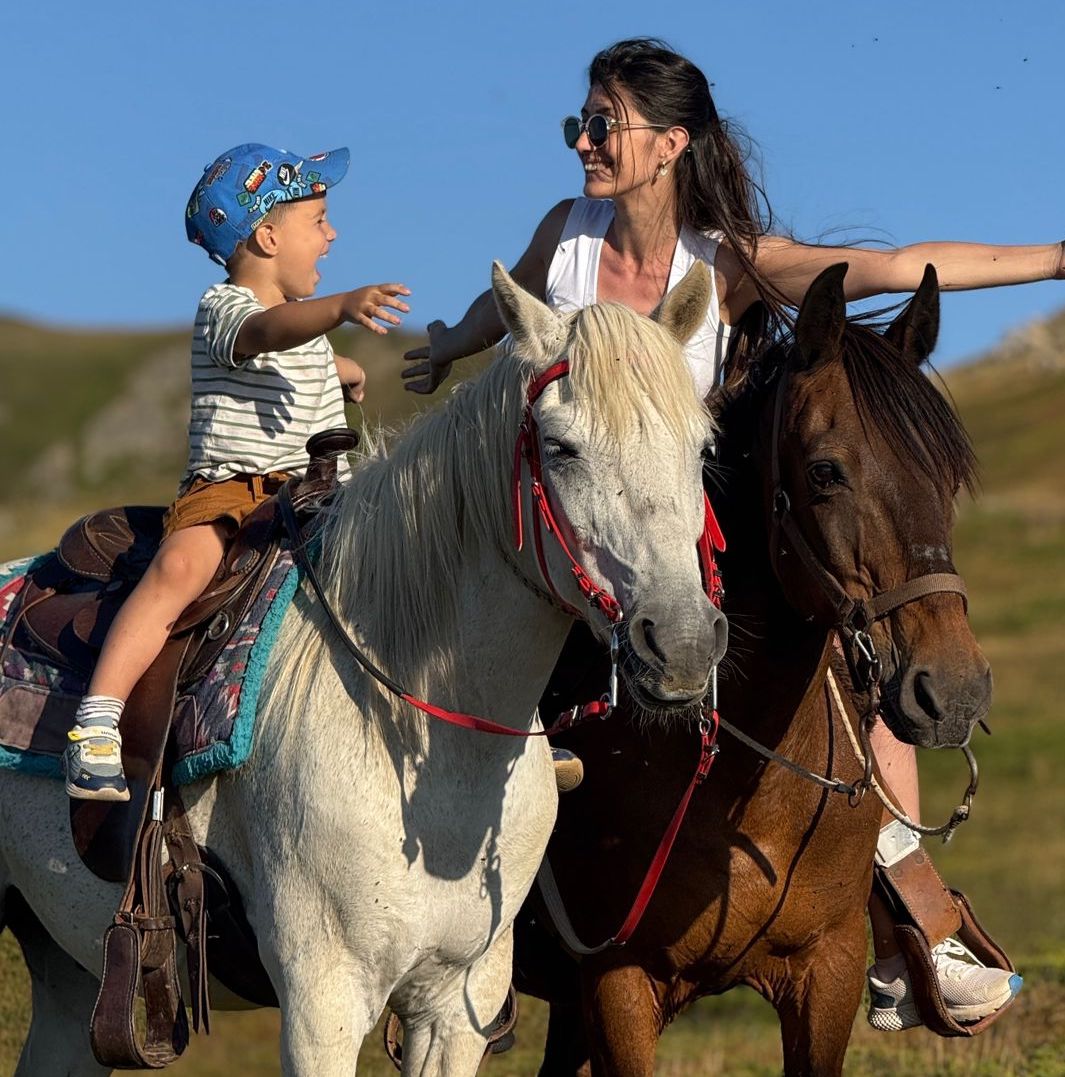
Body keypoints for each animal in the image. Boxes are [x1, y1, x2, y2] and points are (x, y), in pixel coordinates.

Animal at [0, 262, 729, 1077]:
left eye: (701, 449)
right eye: (562, 447)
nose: (682, 642)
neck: (429, 740)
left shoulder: (459, 1003)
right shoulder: (323, 1002)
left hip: (70, 970)